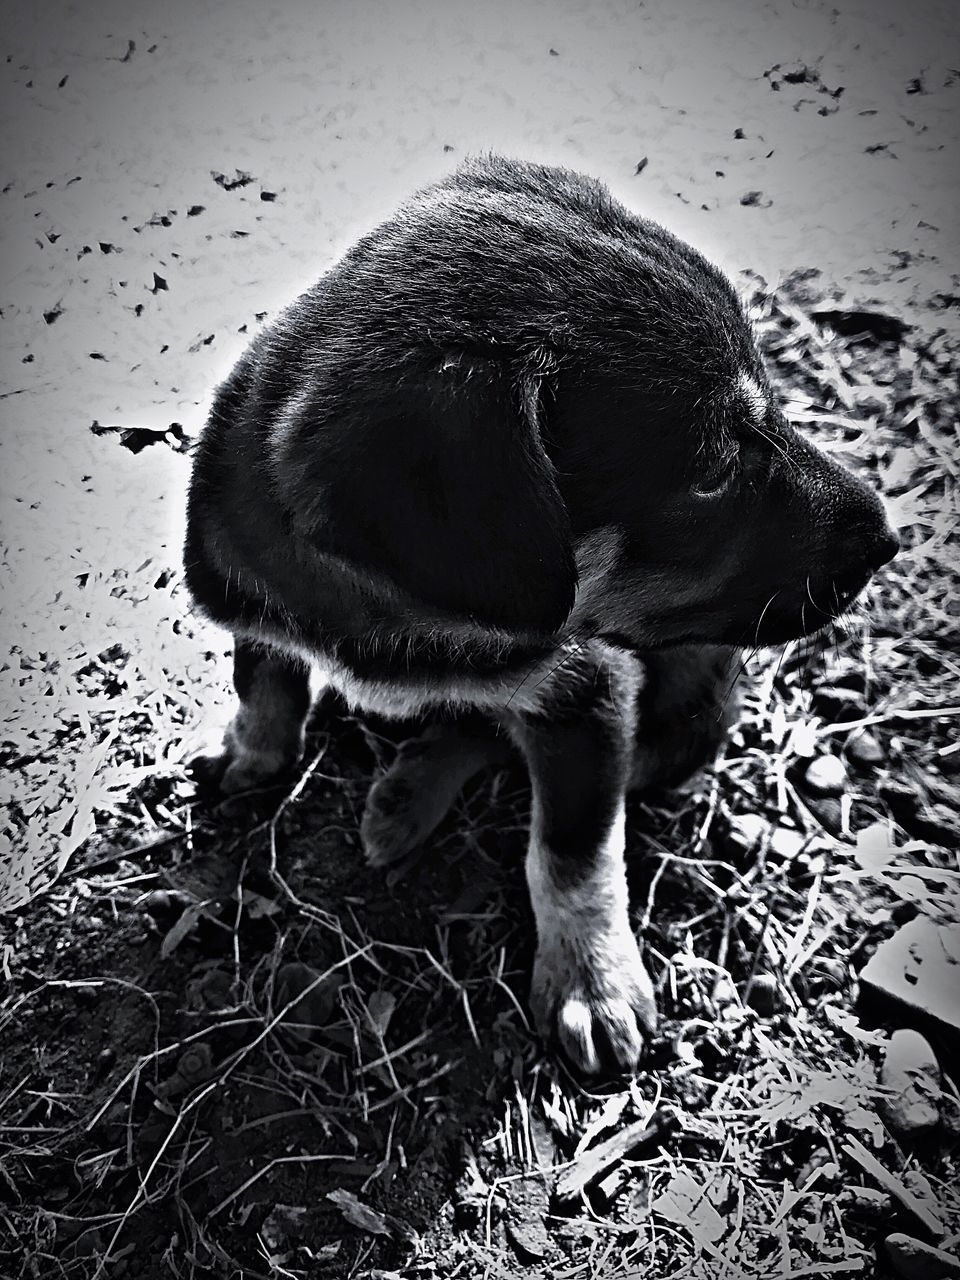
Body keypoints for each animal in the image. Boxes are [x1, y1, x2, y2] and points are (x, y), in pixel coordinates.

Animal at [181, 157, 901, 1080]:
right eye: (711, 473)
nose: (888, 539)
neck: (411, 620)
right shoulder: (249, 604)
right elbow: (264, 679)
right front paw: (249, 755)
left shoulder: (591, 692)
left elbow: (571, 851)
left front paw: (591, 983)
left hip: (688, 723)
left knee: (493, 740)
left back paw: (409, 792)